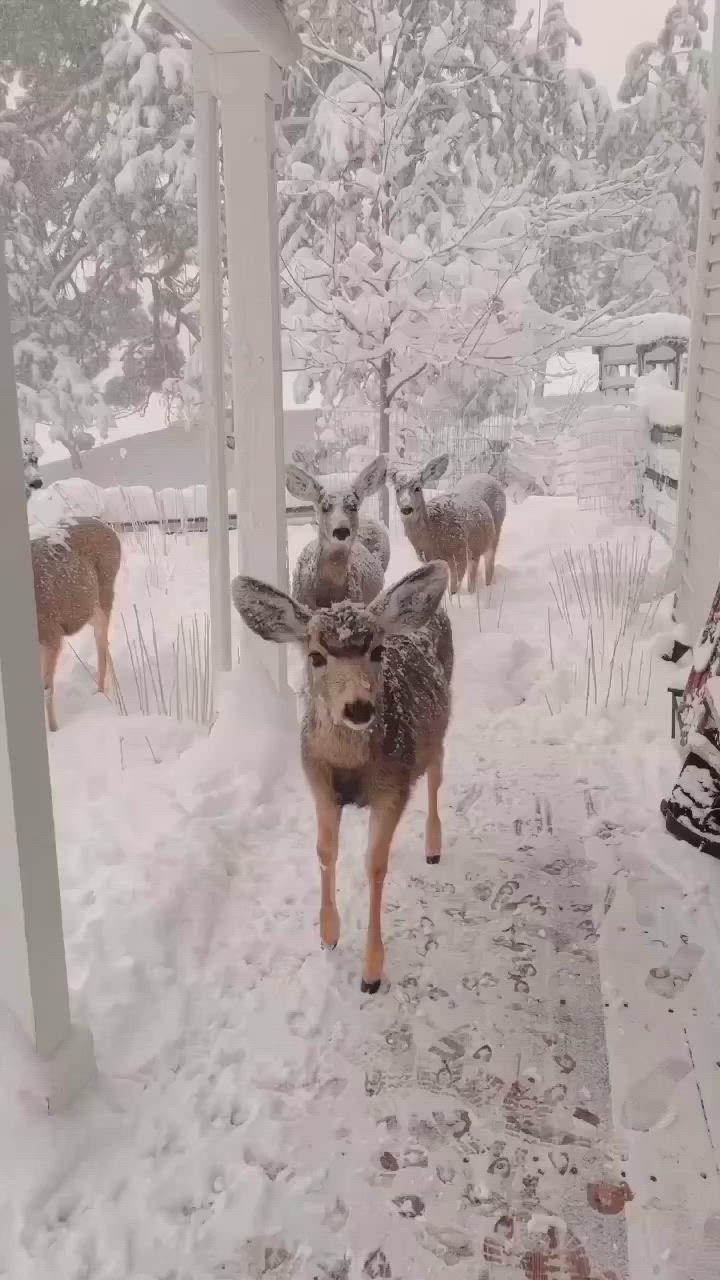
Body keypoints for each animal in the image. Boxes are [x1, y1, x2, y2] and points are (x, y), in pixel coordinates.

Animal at [31, 512, 121, 732]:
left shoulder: (51, 633)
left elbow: (47, 687)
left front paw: (54, 730)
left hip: (105, 591)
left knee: (101, 641)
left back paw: (101, 692)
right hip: (86, 608)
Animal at [233, 560, 450, 988]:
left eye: (378, 650)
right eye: (316, 656)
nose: (359, 707)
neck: (351, 767)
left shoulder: (393, 786)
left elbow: (375, 863)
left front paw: (371, 971)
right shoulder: (318, 780)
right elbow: (324, 850)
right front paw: (328, 935)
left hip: (437, 728)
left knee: (436, 773)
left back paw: (433, 847)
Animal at [386, 455, 504, 593]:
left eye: (417, 488)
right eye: (397, 489)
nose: (406, 508)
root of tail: (488, 476)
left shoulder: (458, 555)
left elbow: (453, 589)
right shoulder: (429, 560)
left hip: (494, 534)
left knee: (489, 563)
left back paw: (487, 587)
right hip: (475, 547)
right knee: (474, 568)